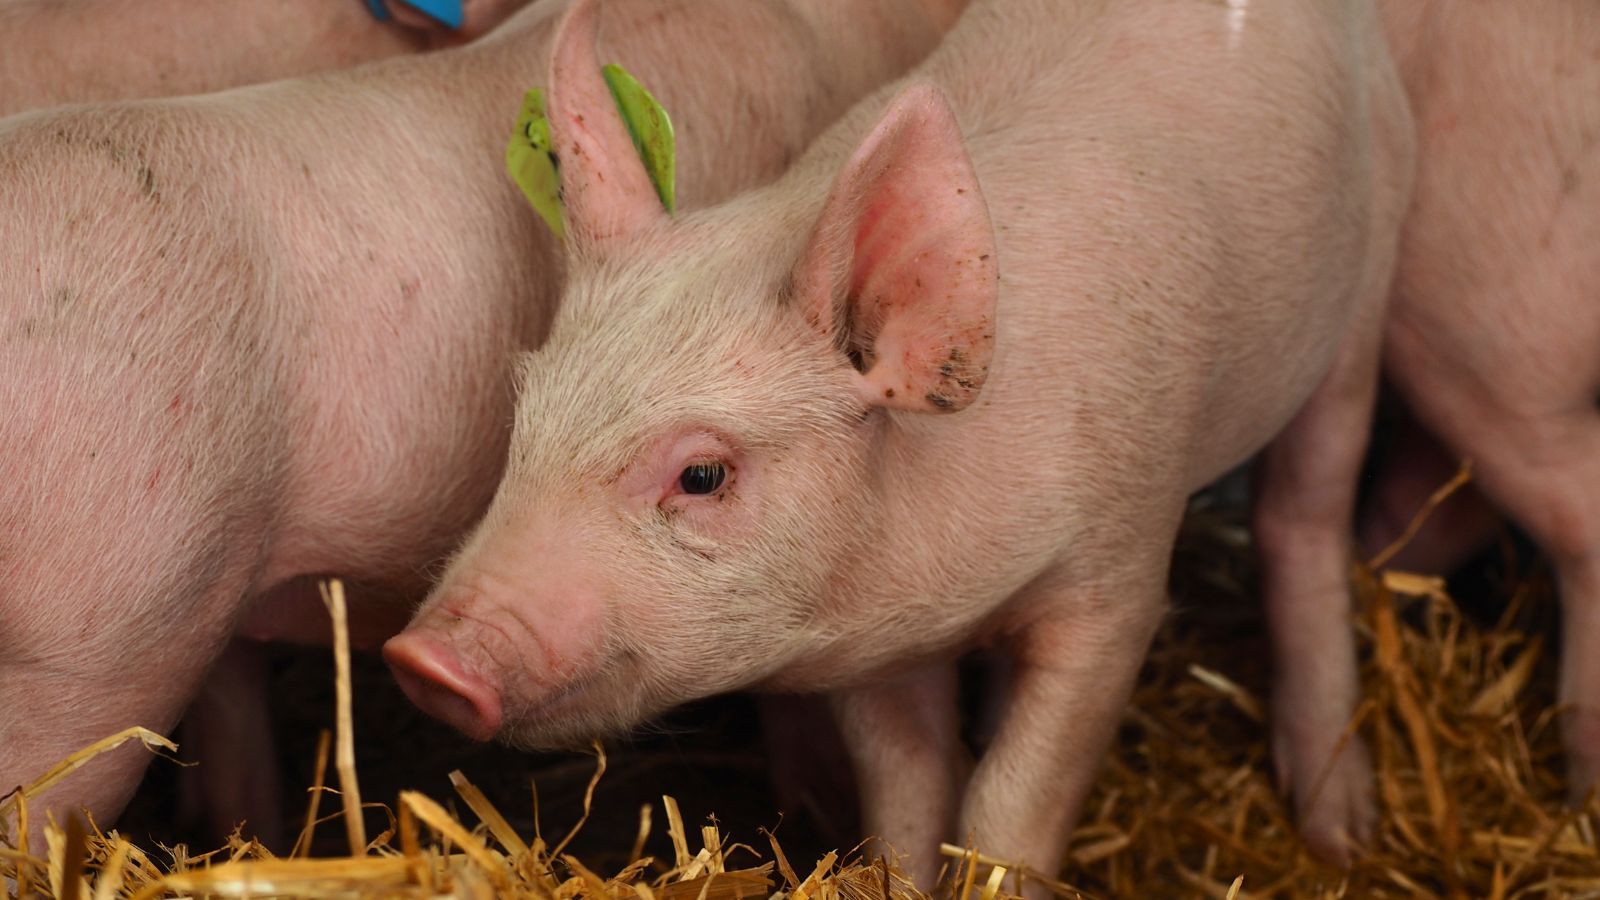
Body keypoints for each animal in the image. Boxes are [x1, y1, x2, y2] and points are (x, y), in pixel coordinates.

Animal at [384, 0, 1414, 884]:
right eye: (525, 413)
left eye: (703, 473)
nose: (421, 660)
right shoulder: (868, 647)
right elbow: (908, 799)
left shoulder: (1118, 574)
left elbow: (1009, 807)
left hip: (1366, 288)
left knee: (1304, 517)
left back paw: (1344, 838)